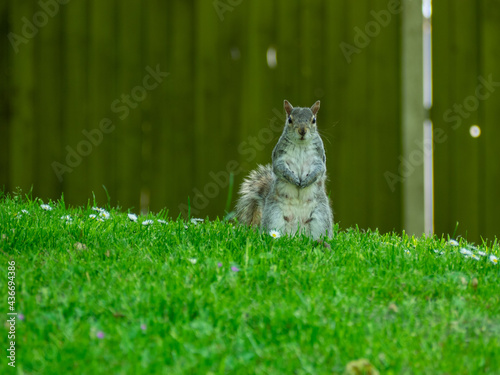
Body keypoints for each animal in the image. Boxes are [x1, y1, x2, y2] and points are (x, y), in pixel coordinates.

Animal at [236, 100, 334, 241]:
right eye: (290, 120)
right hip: (274, 216)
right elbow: (280, 168)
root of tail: (297, 235)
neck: (301, 144)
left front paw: (307, 180)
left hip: (320, 217)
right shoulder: (280, 157)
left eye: (314, 120)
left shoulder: (319, 158)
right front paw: (293, 178)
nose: (302, 131)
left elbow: (319, 170)